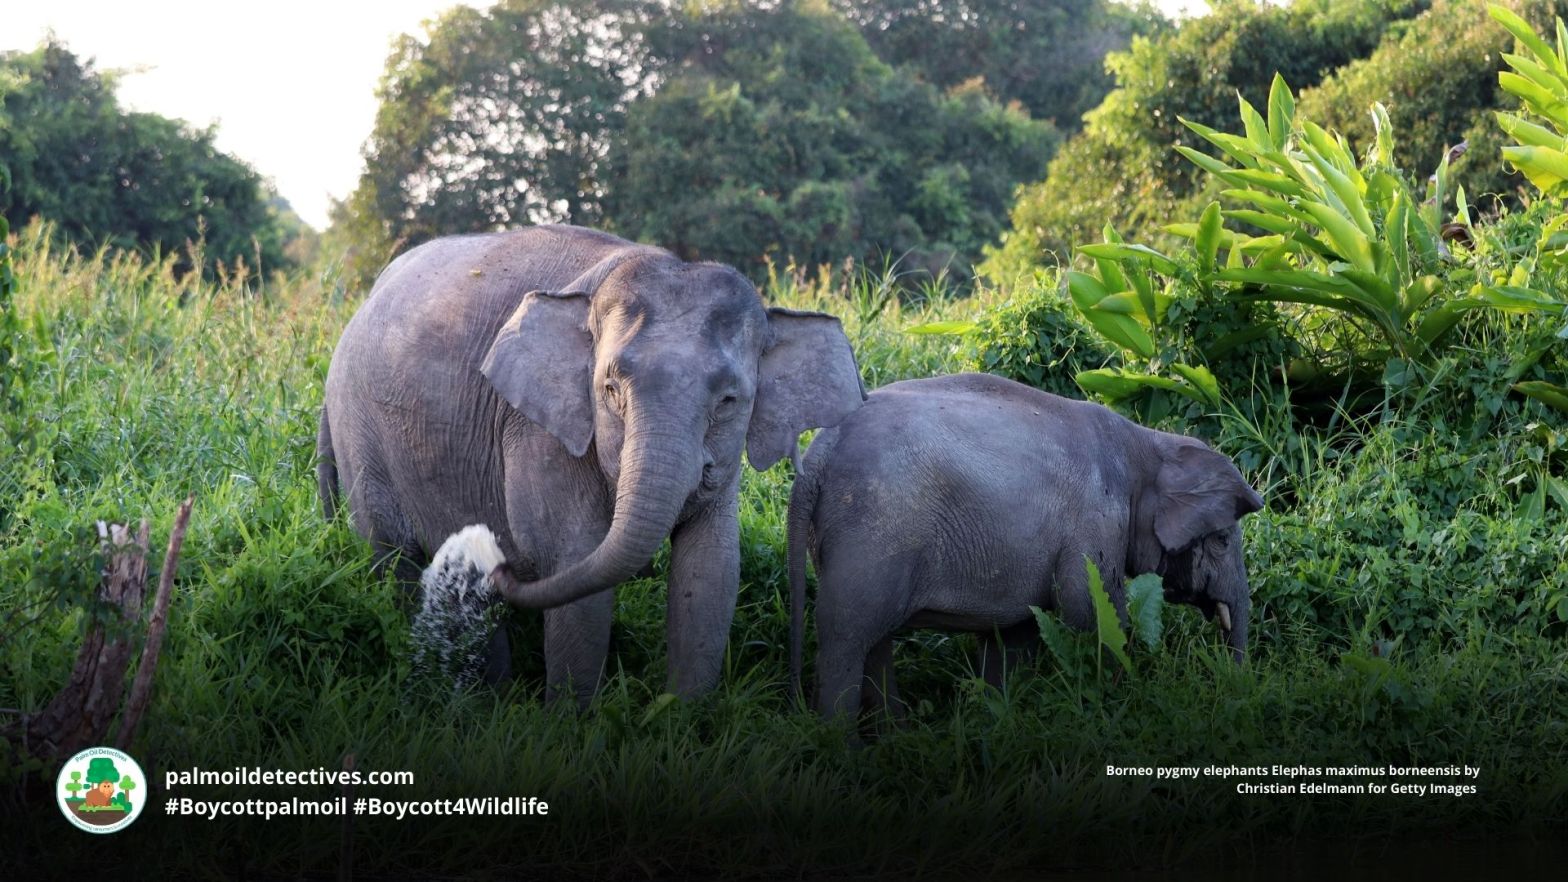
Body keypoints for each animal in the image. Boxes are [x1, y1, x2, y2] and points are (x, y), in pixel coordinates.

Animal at [318, 224, 864, 706]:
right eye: (610, 389)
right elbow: (575, 567)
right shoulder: (539, 429)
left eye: (730, 400)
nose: (499, 559)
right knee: (393, 561)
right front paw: (573, 726)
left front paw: (680, 719)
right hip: (360, 437)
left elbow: (710, 571)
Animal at [786, 373, 1263, 720]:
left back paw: (893, 738)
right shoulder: (1094, 523)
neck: (1148, 441)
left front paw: (996, 717)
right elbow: (1093, 615)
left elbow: (1016, 635)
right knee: (846, 636)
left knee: (874, 639)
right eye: (1222, 541)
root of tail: (818, 454)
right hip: (872, 532)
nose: (1235, 686)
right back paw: (841, 745)